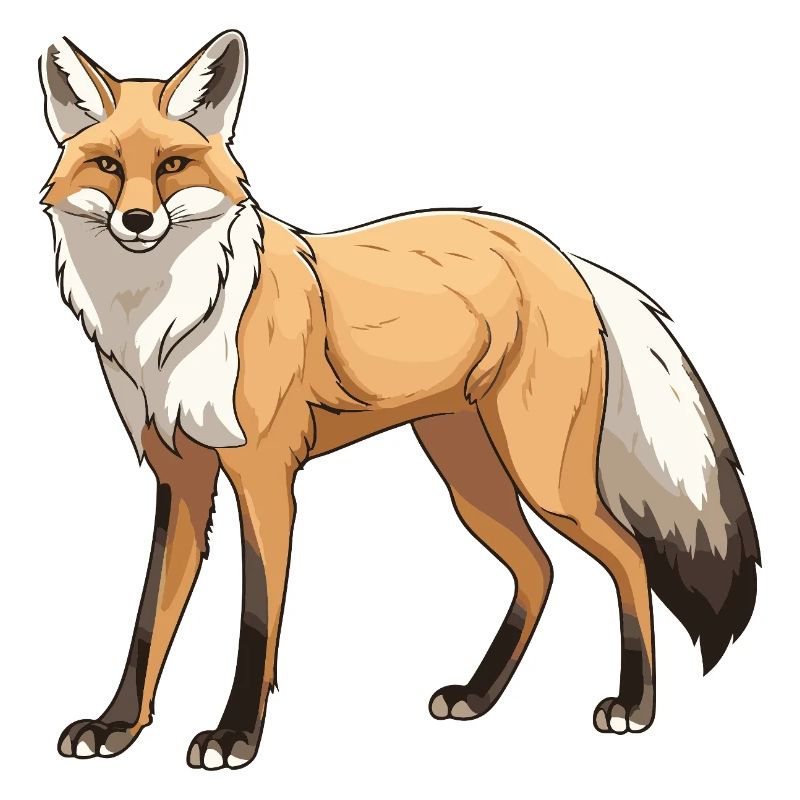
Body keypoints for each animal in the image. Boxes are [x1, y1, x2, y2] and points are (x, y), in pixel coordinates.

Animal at [40, 30, 760, 770]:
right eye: (106, 165)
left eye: (174, 165)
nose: (136, 220)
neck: (169, 326)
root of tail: (560, 252)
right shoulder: (179, 476)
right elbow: (148, 619)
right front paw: (118, 726)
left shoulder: (264, 478)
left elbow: (255, 620)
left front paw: (235, 736)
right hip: (469, 477)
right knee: (539, 569)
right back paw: (478, 696)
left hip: (545, 478)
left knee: (628, 557)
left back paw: (635, 706)